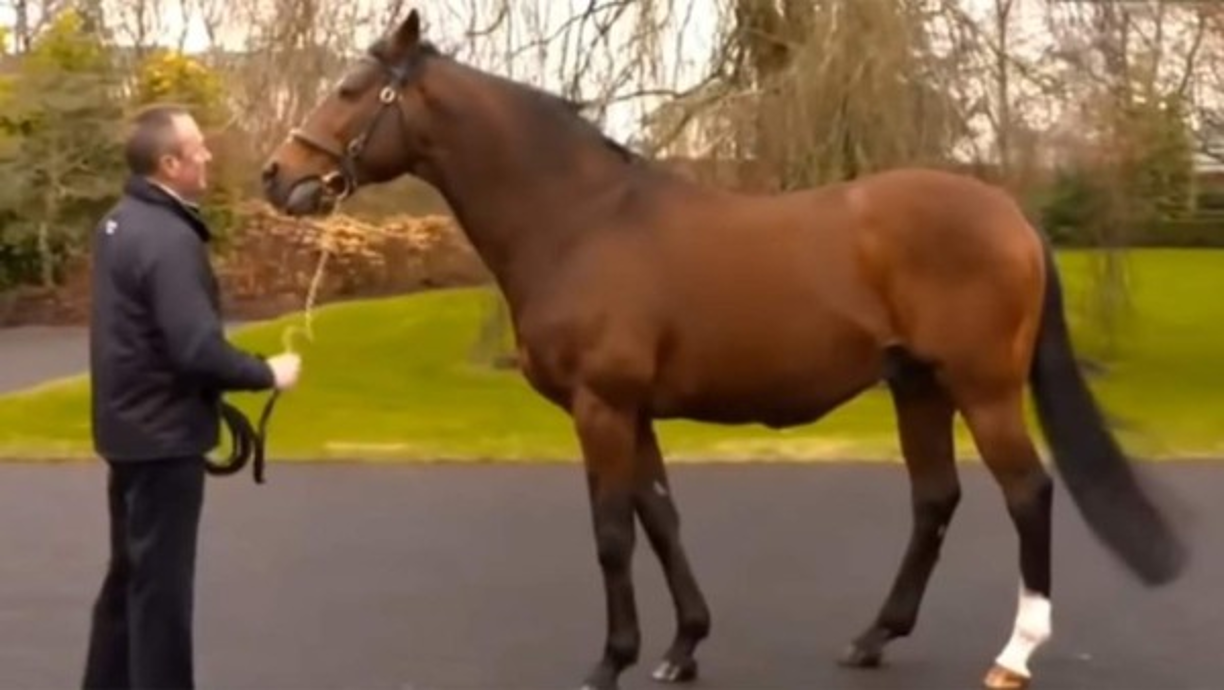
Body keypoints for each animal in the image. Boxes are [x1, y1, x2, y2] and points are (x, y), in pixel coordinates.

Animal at [259, 9, 1187, 690]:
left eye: (349, 89)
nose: (276, 177)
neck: (580, 222)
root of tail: (1010, 213)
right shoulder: (632, 411)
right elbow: (661, 515)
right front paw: (681, 650)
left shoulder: (601, 407)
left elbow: (611, 531)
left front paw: (610, 662)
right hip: (917, 386)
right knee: (935, 501)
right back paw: (872, 638)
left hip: (983, 387)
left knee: (1026, 494)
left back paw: (1013, 655)